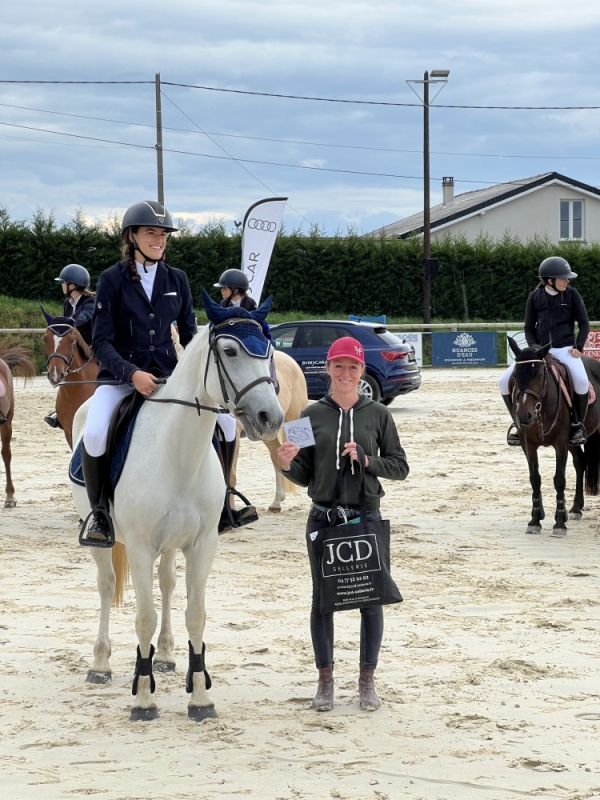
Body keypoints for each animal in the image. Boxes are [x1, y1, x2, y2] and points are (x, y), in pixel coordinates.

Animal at [508, 334, 600, 536]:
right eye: (515, 376)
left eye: (539, 374)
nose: (523, 416)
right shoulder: (528, 444)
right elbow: (535, 478)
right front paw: (535, 519)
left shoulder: (560, 443)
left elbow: (559, 480)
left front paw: (559, 523)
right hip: (572, 443)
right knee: (580, 461)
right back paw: (575, 508)